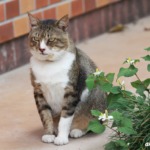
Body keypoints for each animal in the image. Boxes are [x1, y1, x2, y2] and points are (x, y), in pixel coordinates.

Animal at [27, 13, 106, 145]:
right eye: (36, 39)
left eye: (51, 40)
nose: (41, 49)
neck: (49, 65)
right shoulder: (38, 92)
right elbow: (45, 116)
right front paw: (48, 134)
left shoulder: (70, 91)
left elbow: (65, 118)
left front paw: (61, 138)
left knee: (93, 124)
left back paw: (77, 130)